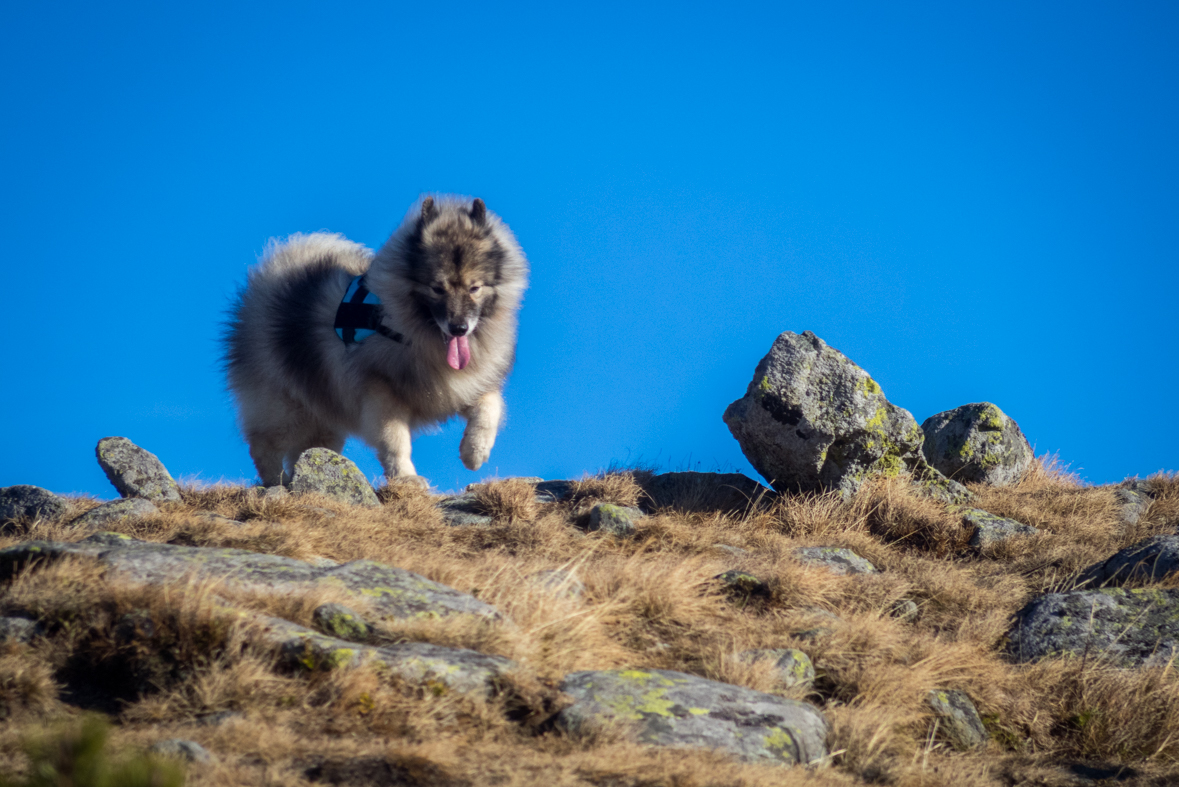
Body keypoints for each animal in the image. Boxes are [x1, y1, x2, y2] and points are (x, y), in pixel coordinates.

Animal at [222, 194, 528, 485]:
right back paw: (278, 481)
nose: (459, 328)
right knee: (263, 444)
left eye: (474, 288)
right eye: (437, 288)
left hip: (323, 418)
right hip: (287, 408)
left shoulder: (468, 383)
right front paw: (406, 478)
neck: (416, 334)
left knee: (308, 448)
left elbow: (489, 408)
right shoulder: (381, 392)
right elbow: (395, 440)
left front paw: (473, 453)